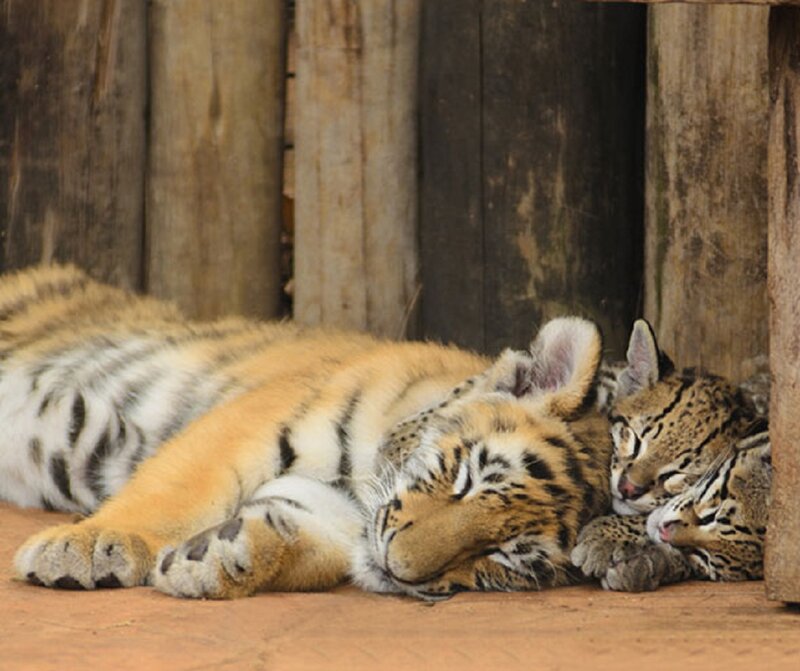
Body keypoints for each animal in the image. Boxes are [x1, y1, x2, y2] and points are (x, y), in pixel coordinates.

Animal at [3, 265, 613, 600]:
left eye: (503, 555)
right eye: (466, 479)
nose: (398, 571)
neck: (360, 481)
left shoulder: (338, 510)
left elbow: (307, 545)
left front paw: (219, 558)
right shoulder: (251, 420)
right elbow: (176, 492)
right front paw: (86, 548)